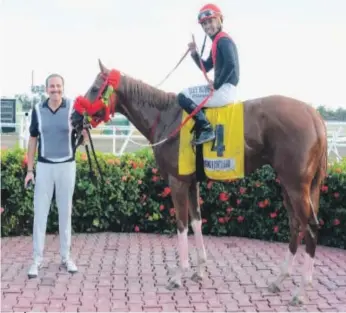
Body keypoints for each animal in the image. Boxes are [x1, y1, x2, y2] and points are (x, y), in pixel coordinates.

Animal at [72, 58, 328, 304]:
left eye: (94, 88)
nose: (74, 118)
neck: (166, 117)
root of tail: (313, 114)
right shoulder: (192, 182)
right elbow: (196, 222)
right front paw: (200, 270)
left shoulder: (177, 182)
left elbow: (182, 225)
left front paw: (179, 274)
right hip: (291, 186)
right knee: (296, 225)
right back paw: (279, 279)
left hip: (296, 186)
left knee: (311, 228)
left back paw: (301, 290)